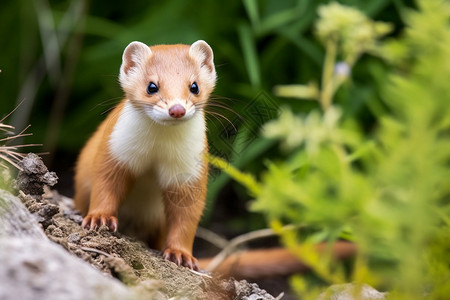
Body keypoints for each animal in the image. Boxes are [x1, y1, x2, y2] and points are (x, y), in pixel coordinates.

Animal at [74, 39, 216, 270]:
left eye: (194, 86)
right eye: (152, 86)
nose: (177, 109)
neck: (157, 151)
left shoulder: (190, 170)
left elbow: (187, 214)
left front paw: (181, 254)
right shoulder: (115, 150)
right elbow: (105, 184)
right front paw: (100, 218)